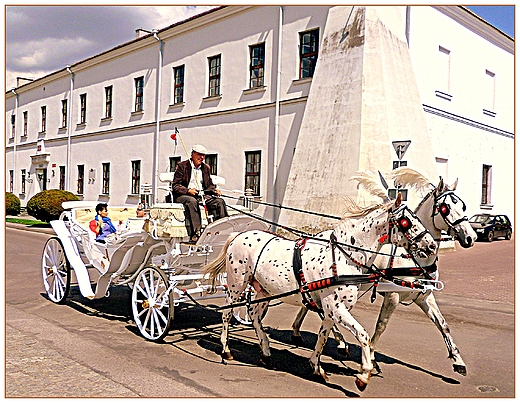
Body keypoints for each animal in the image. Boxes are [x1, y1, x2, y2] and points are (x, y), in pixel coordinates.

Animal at [204, 196, 438, 392]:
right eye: (406, 222)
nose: (432, 245)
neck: (345, 256)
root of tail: (238, 235)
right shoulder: (336, 308)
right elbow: (362, 335)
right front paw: (364, 374)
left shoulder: (332, 310)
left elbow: (323, 336)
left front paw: (316, 366)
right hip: (236, 285)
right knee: (226, 314)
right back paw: (225, 349)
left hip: (263, 290)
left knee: (254, 317)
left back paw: (265, 351)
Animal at [290, 169, 478, 378]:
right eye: (445, 208)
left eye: (462, 205)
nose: (471, 237)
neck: (413, 258)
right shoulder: (393, 295)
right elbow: (381, 326)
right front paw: (371, 358)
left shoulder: (424, 296)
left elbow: (443, 325)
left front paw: (458, 361)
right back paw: (338, 342)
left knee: (311, 305)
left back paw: (301, 331)